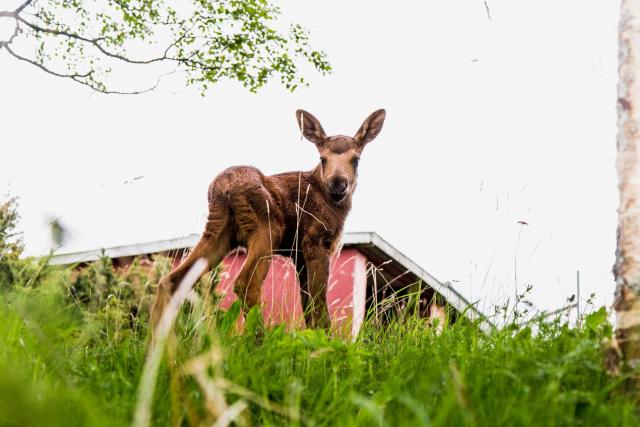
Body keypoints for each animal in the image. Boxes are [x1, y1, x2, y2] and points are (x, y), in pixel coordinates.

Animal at [150, 109, 386, 330]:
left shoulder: (299, 255)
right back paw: (258, 338)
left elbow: (308, 306)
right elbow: (320, 304)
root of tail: (223, 187)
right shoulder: (316, 241)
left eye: (356, 159)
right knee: (246, 283)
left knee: (171, 281)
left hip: (218, 232)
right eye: (323, 159)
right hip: (267, 228)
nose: (338, 184)